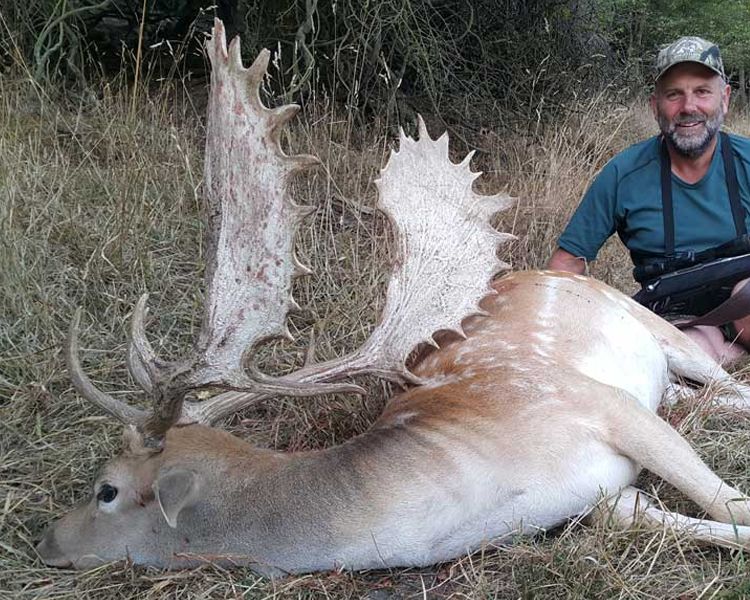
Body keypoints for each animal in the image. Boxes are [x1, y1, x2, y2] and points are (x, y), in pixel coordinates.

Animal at [37, 19, 750, 576]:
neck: (487, 504)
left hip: (650, 324)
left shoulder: (601, 405)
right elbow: (677, 517)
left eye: (105, 490)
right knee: (702, 398)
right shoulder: (606, 498)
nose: (45, 541)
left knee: (724, 383)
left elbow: (728, 500)